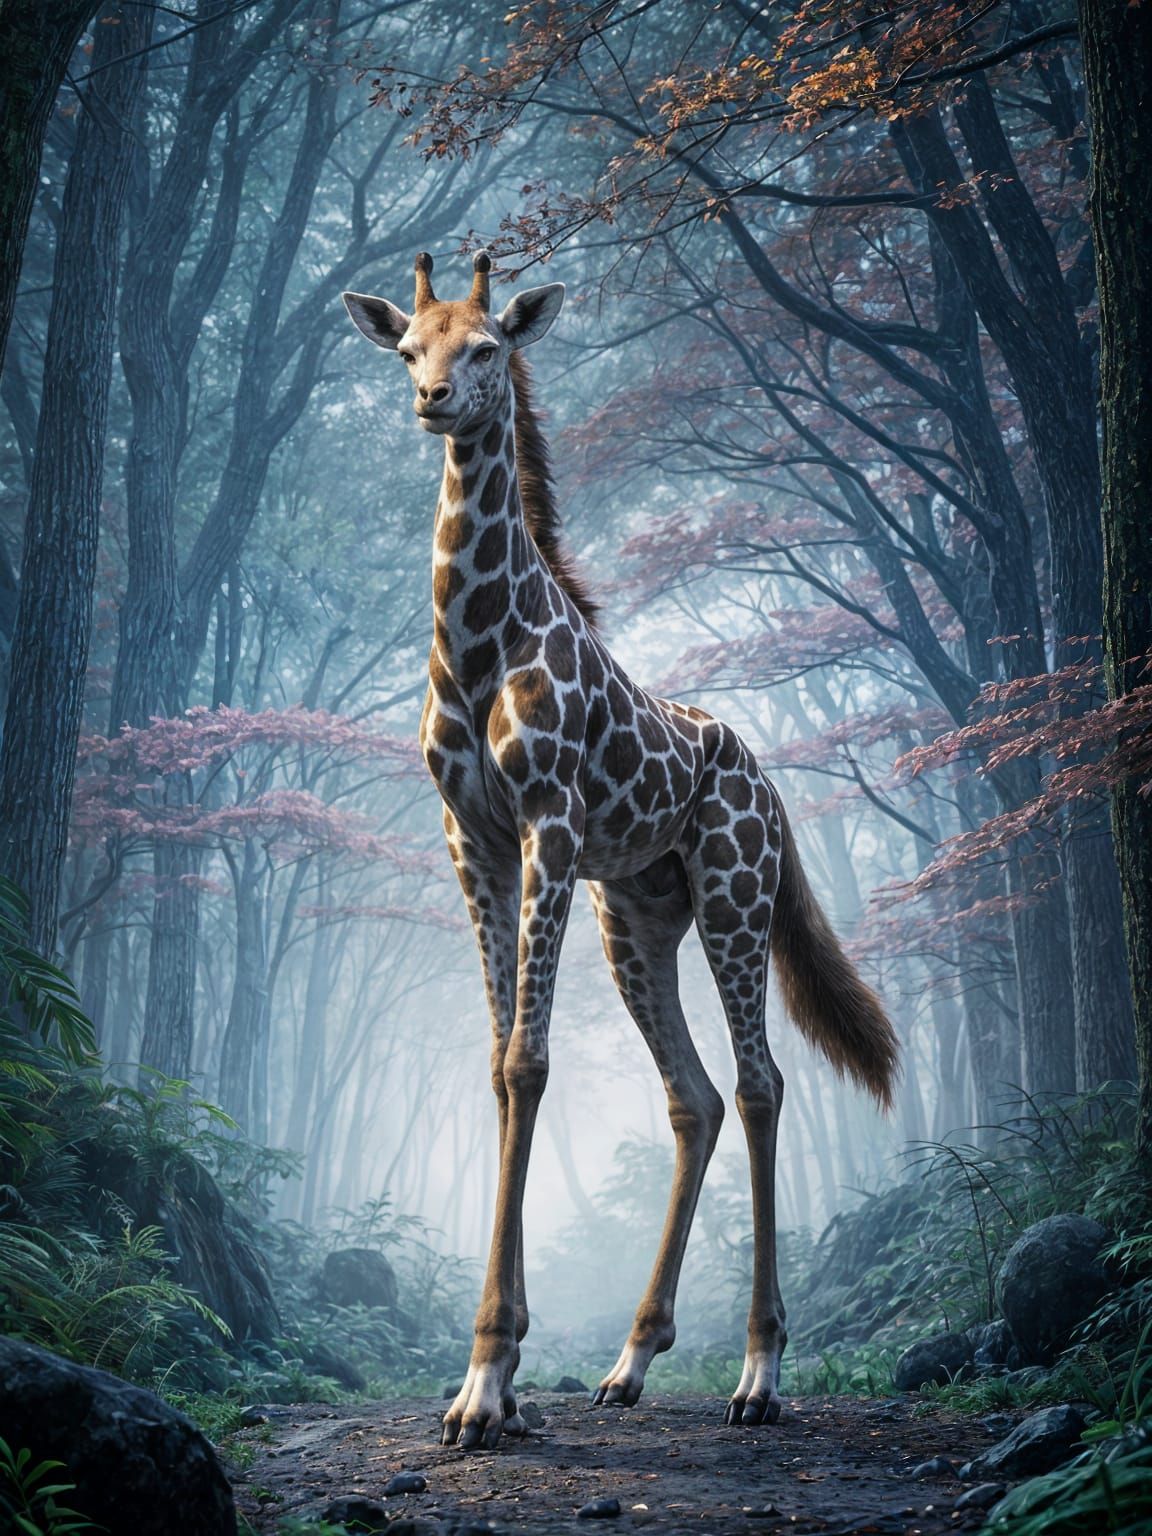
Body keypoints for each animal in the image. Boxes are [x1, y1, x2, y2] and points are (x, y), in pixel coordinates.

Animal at [343, 251, 899, 1451]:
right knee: (693, 1096)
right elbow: (499, 1062)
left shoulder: (546, 824)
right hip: (637, 920)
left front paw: (488, 1382)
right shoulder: (471, 838)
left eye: (486, 347)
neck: (478, 644)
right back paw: (630, 1363)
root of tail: (771, 788)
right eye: (408, 347)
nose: (434, 402)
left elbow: (529, 1061)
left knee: (759, 1082)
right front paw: (492, 1382)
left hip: (735, 894)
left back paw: (759, 1376)